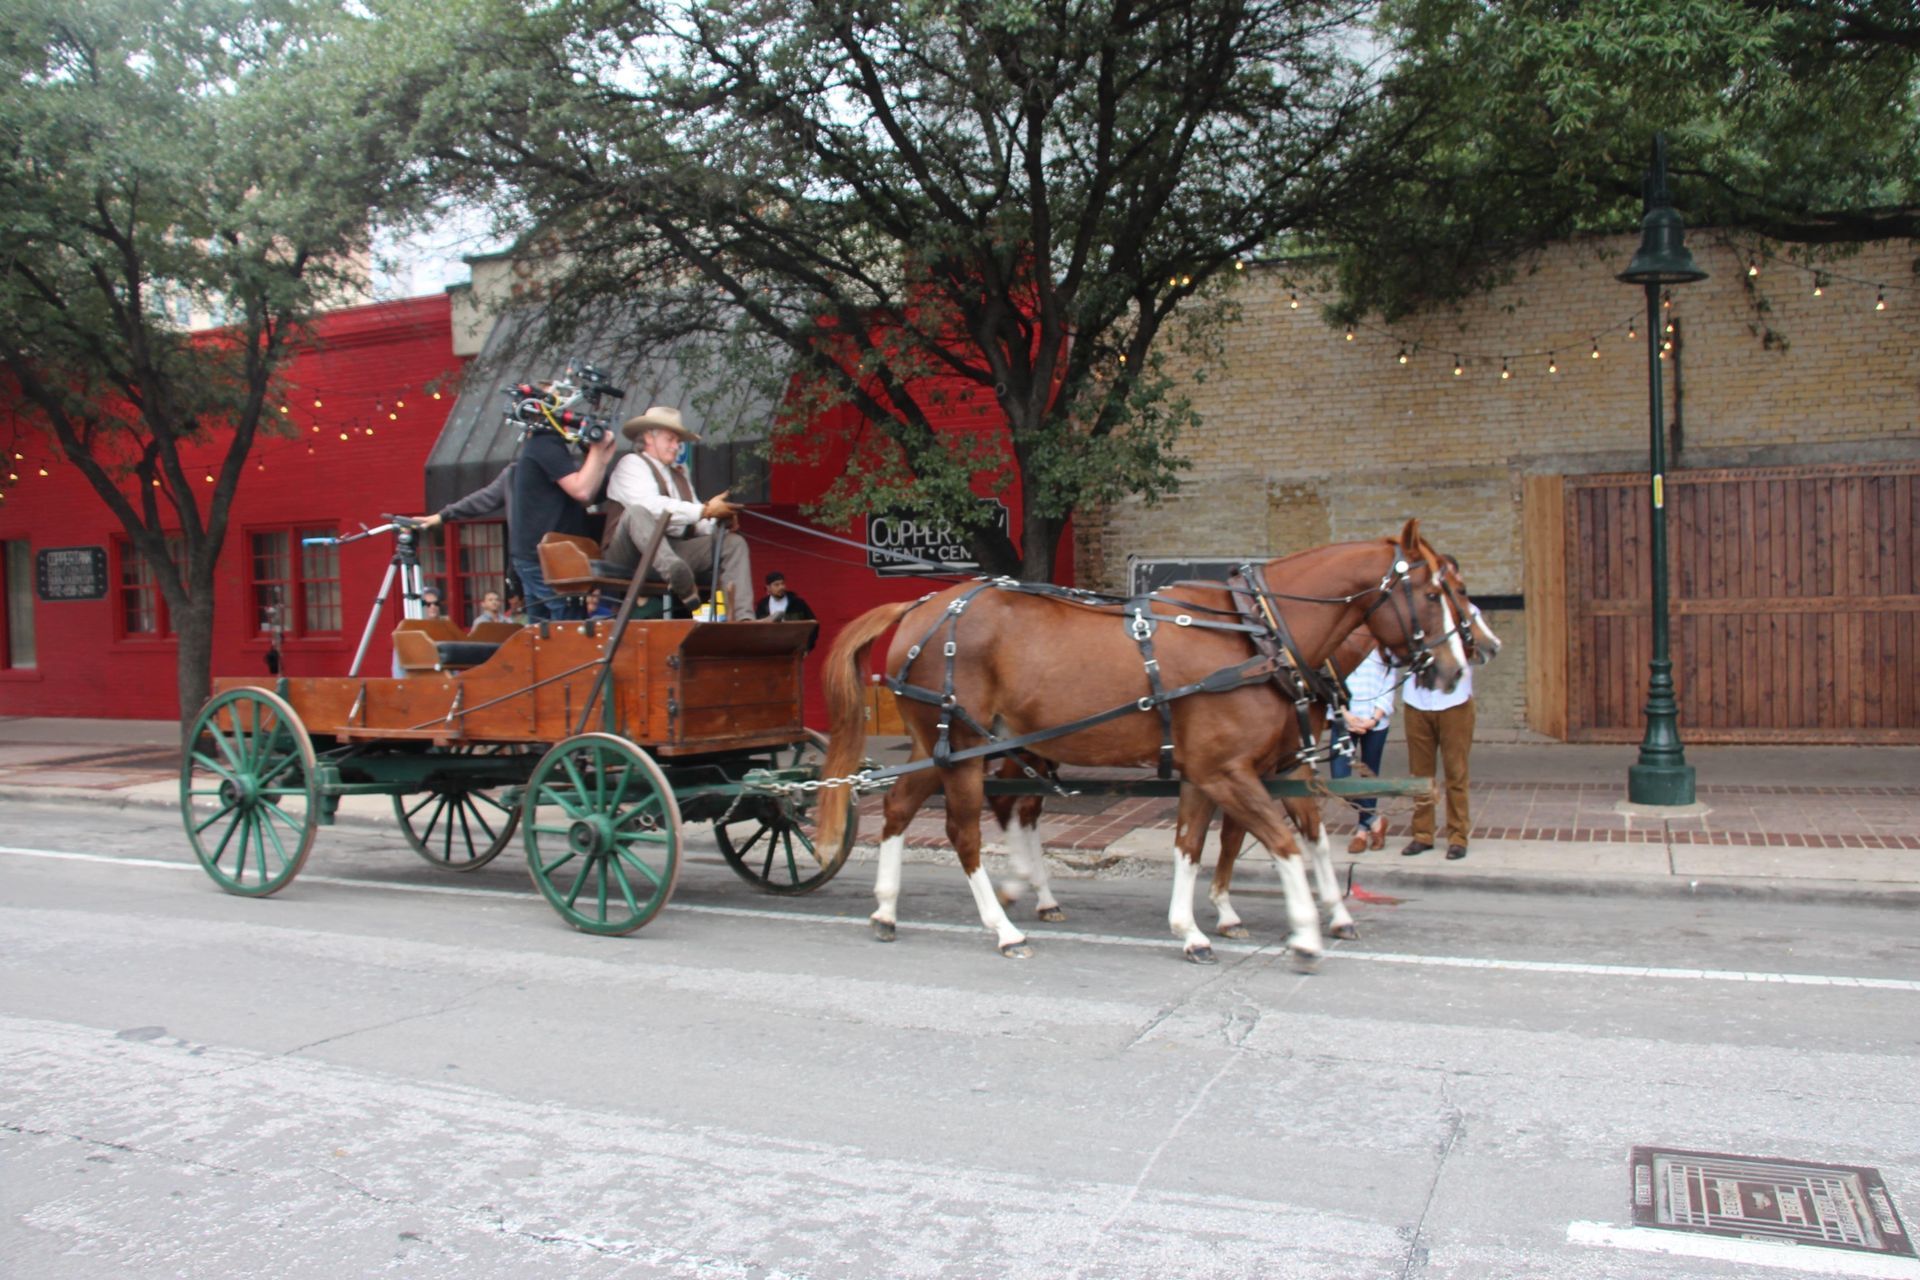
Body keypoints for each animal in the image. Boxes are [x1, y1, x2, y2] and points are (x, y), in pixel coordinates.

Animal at [816, 519, 1484, 971]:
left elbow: (1199, 845)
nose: (1457, 669)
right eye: (1434, 594)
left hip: (943, 745)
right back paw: (1004, 926)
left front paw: (1195, 927)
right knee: (964, 832)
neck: (1257, 636)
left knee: (902, 809)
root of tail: (921, 603)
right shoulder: (1229, 771)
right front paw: (1305, 932)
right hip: (963, 749)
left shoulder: (1219, 772)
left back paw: (888, 909)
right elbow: (1283, 843)